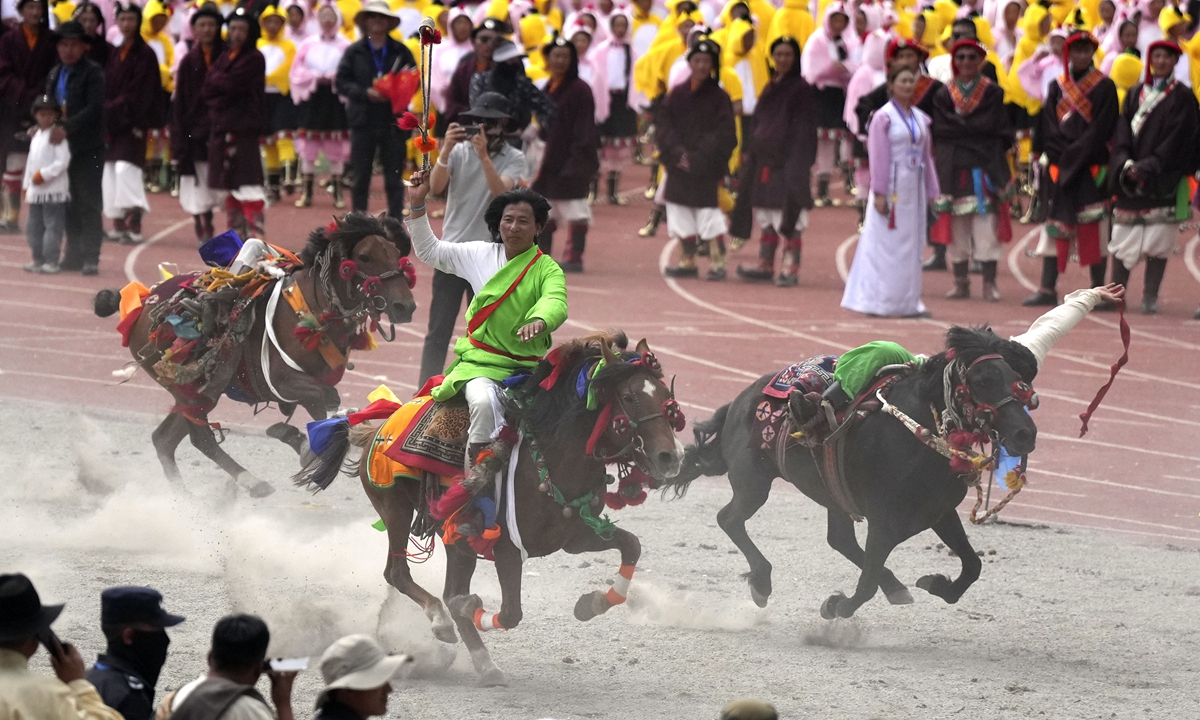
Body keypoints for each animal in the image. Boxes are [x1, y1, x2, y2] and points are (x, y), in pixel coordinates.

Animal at [92, 212, 417, 494]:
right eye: (364, 256)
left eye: (394, 252)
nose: (405, 306)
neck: (310, 310)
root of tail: (141, 301)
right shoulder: (284, 381)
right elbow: (327, 400)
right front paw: (301, 443)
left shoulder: (309, 384)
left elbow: (325, 409)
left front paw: (300, 441)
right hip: (195, 392)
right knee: (199, 438)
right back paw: (250, 483)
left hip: (197, 395)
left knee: (164, 439)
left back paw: (185, 499)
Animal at [291, 331, 686, 686]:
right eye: (629, 397)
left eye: (667, 397)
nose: (671, 457)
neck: (550, 456)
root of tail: (378, 425)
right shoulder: (508, 548)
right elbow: (510, 613)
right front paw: (469, 608)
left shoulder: (574, 536)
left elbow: (632, 545)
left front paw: (593, 603)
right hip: (396, 511)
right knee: (400, 574)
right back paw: (443, 624)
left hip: (457, 542)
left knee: (442, 588)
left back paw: (483, 662)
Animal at [667, 328, 1041, 619]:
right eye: (981, 381)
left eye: (1017, 381)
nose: (1025, 433)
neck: (912, 435)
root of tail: (738, 403)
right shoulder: (884, 523)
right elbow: (866, 584)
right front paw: (835, 605)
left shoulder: (940, 512)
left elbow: (972, 566)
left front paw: (935, 583)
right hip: (753, 484)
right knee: (729, 519)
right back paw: (761, 583)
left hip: (829, 493)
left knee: (839, 539)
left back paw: (896, 586)